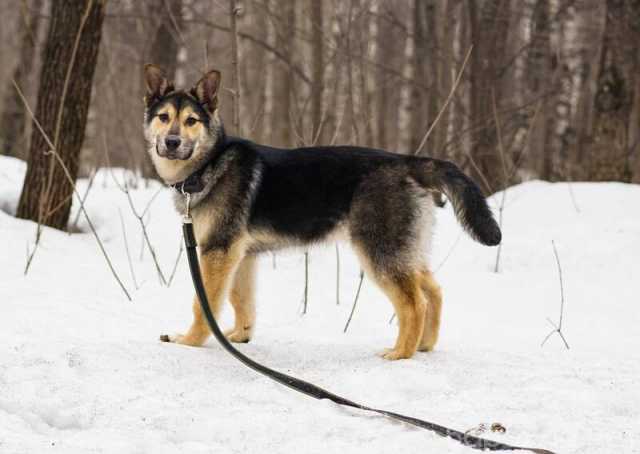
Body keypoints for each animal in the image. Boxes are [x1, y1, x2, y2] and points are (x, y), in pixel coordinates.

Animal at [144, 64, 500, 362]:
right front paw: (239, 338)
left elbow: (204, 303)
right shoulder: (240, 255)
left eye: (191, 121)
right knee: (434, 292)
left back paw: (401, 354)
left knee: (414, 304)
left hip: (379, 253)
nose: (171, 142)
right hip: (404, 251)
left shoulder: (218, 251)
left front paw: (191, 341)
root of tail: (408, 162)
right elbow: (240, 300)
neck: (209, 162)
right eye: (163, 117)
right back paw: (424, 345)